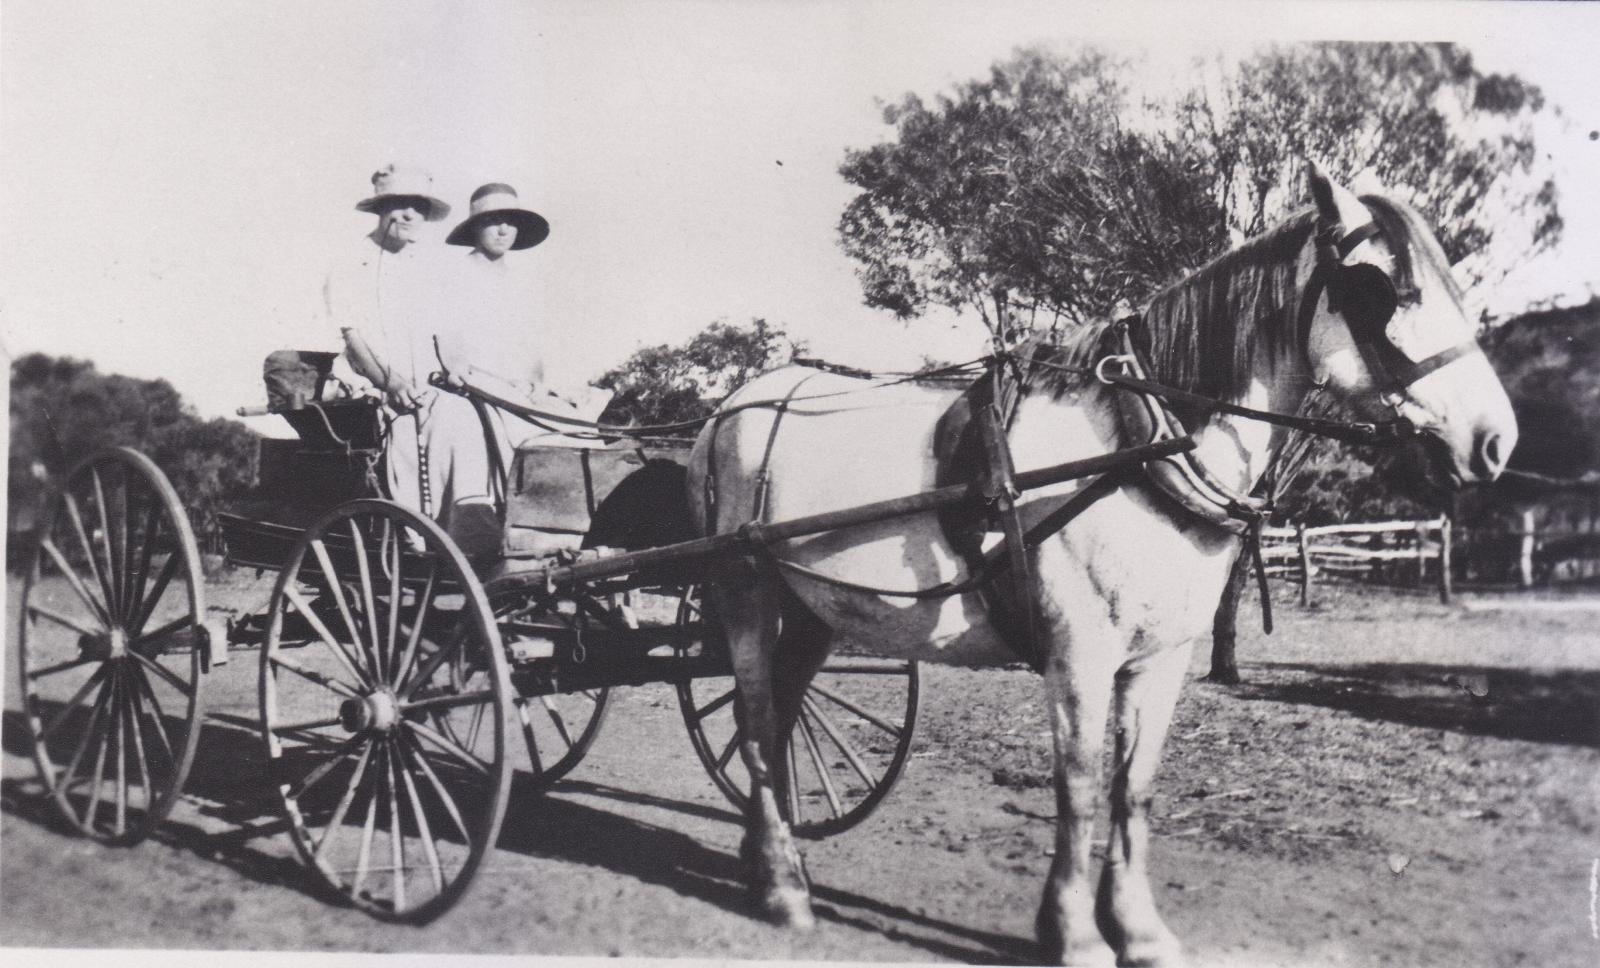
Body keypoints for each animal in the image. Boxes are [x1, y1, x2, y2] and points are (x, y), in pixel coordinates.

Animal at [684, 162, 1510, 960]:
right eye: (1381, 289)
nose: (1495, 441)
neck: (1139, 446)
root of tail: (730, 408)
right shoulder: (1079, 651)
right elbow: (1079, 786)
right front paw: (1074, 932)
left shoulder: (1162, 656)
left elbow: (1132, 787)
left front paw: (1139, 930)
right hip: (745, 590)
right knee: (757, 720)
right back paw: (783, 888)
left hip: (814, 608)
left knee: (781, 715)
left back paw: (768, 862)